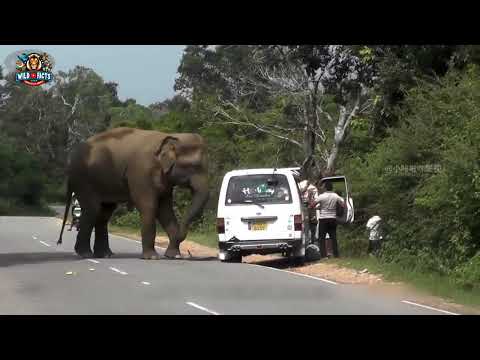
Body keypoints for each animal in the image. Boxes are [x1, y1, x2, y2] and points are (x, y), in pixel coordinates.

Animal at [57, 128, 209, 260]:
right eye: (193, 166)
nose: (188, 252)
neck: (170, 137)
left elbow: (165, 210)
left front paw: (173, 256)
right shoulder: (141, 172)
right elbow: (149, 207)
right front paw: (152, 258)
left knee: (104, 213)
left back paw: (105, 254)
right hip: (83, 180)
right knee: (92, 209)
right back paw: (85, 254)